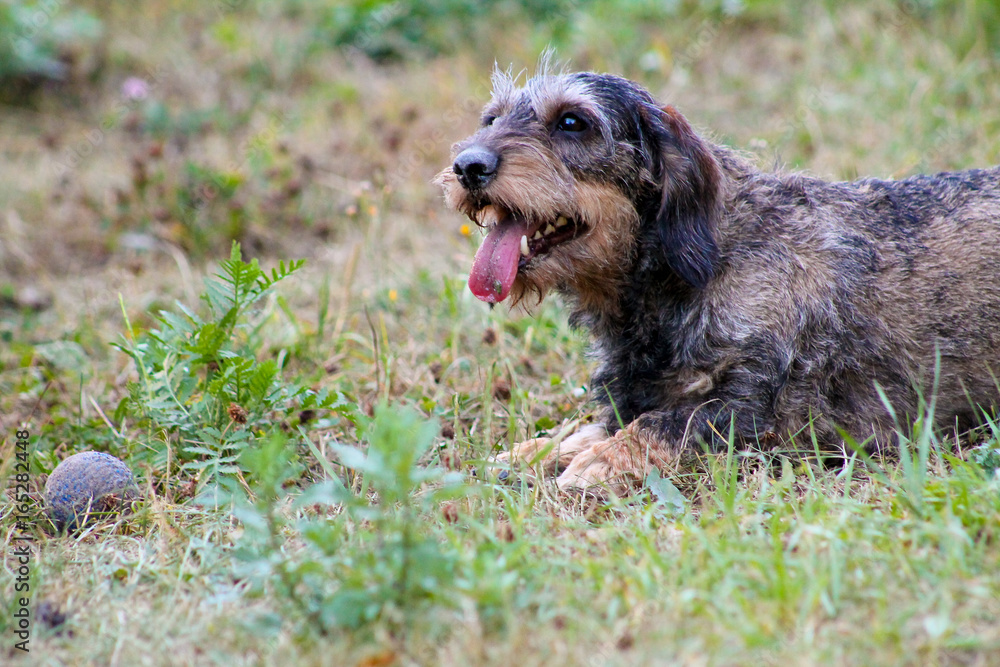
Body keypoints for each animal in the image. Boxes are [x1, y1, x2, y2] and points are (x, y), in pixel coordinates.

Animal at [435, 65, 1000, 496]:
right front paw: (525, 454)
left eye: (572, 122)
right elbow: (583, 429)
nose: (467, 165)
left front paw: (602, 461)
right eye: (492, 118)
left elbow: (668, 422)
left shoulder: (772, 416)